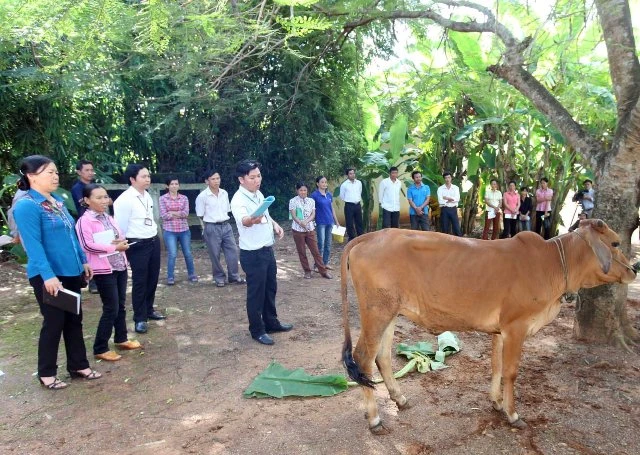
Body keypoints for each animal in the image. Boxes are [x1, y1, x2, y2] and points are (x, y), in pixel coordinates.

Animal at [340, 221, 636, 434]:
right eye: (615, 243)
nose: (633, 270)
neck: (551, 264)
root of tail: (370, 236)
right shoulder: (516, 327)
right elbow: (511, 372)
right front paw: (513, 414)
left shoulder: (501, 330)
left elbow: (496, 367)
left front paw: (496, 402)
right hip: (376, 312)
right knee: (363, 359)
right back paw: (375, 420)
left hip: (390, 313)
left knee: (382, 357)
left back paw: (400, 399)